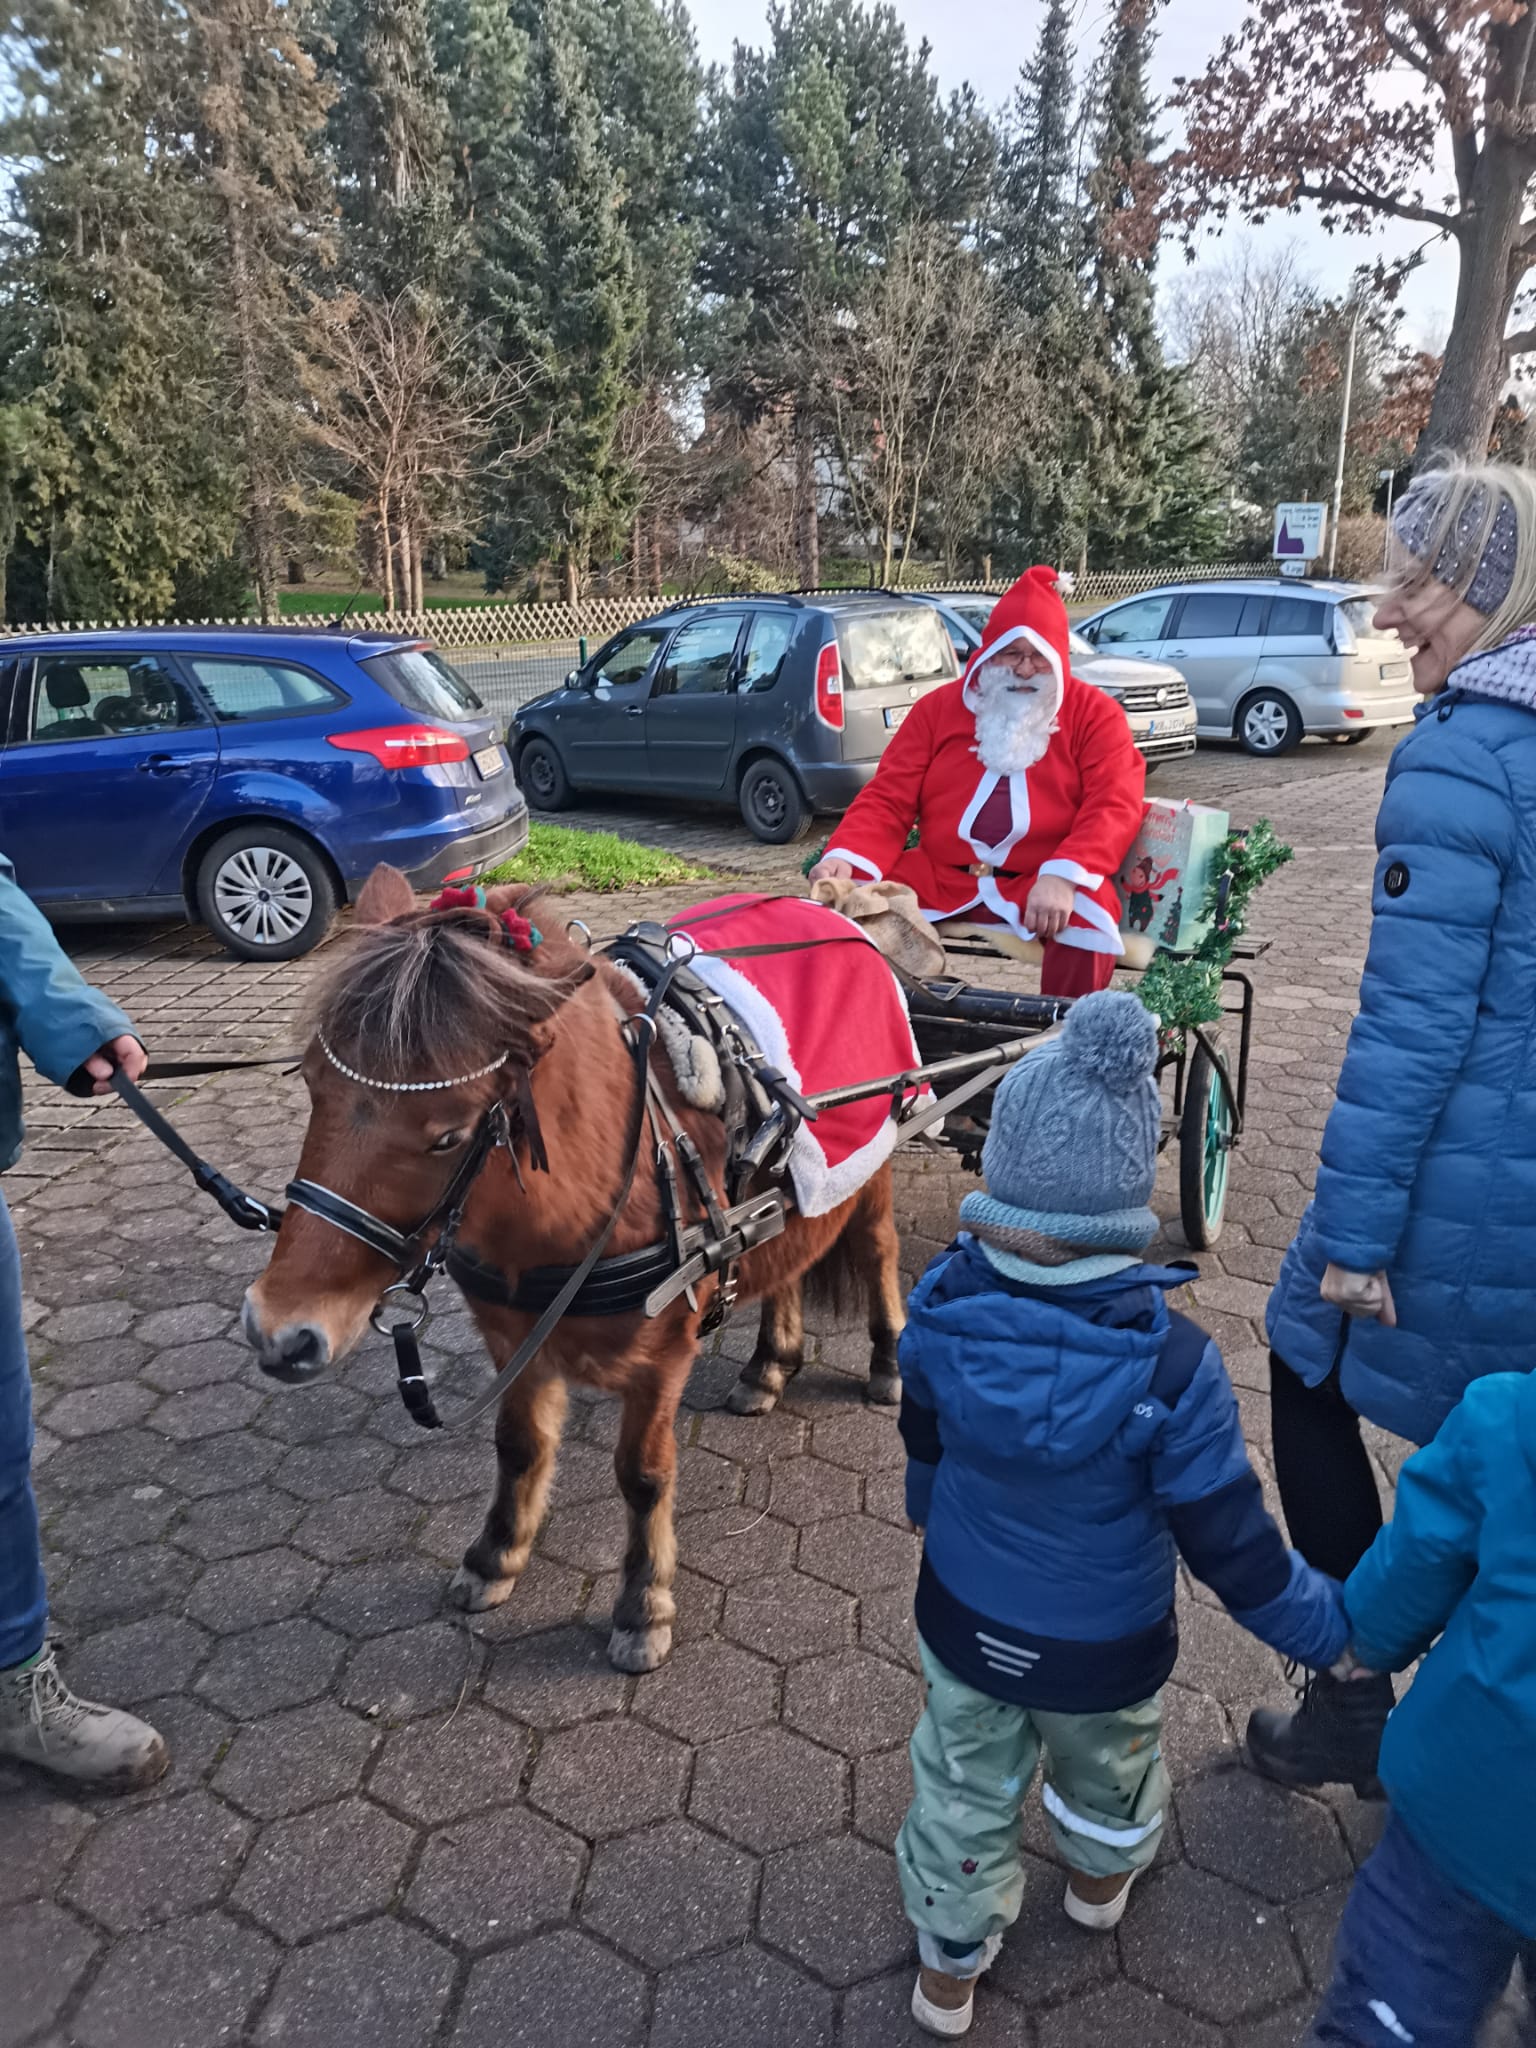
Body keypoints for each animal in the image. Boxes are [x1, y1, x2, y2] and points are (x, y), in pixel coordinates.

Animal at [244, 864, 909, 1662]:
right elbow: (519, 1447)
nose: (282, 1330)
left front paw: (643, 1603)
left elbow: (643, 1475)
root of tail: (836, 914)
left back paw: (887, 1362)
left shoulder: (662, 1357)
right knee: (787, 1257)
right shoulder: (515, 1339)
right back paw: (768, 1366)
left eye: (449, 1136)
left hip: (871, 1169)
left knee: (877, 1252)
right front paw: (496, 1555)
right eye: (314, 1082)